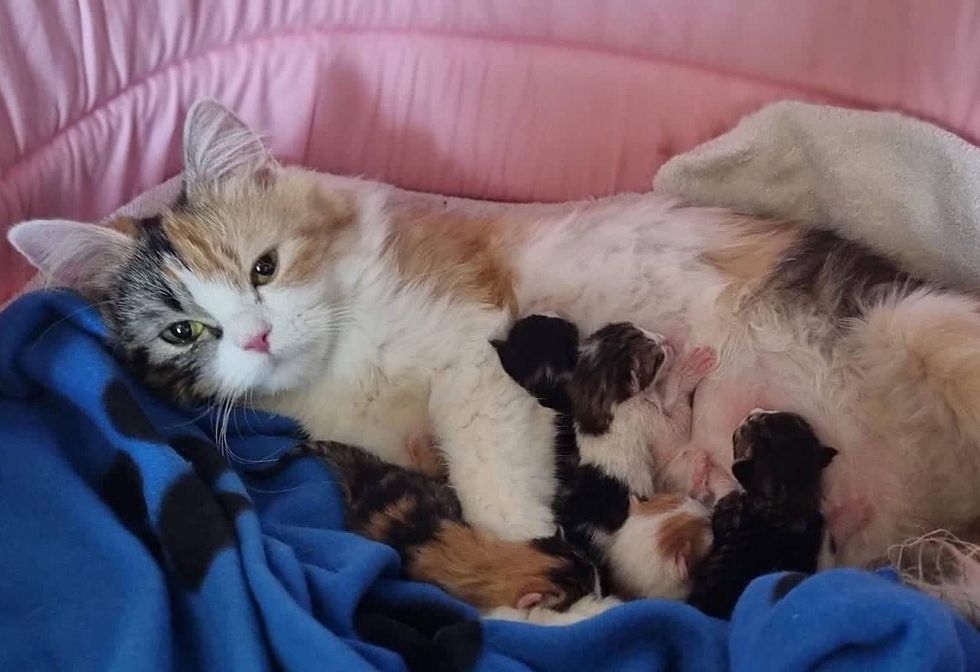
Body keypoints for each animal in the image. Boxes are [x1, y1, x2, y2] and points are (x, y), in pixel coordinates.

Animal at [490, 316, 712, 600]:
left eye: (643, 330)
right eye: (657, 356)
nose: (667, 340)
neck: (598, 400)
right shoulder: (646, 418)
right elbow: (677, 422)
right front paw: (688, 371)